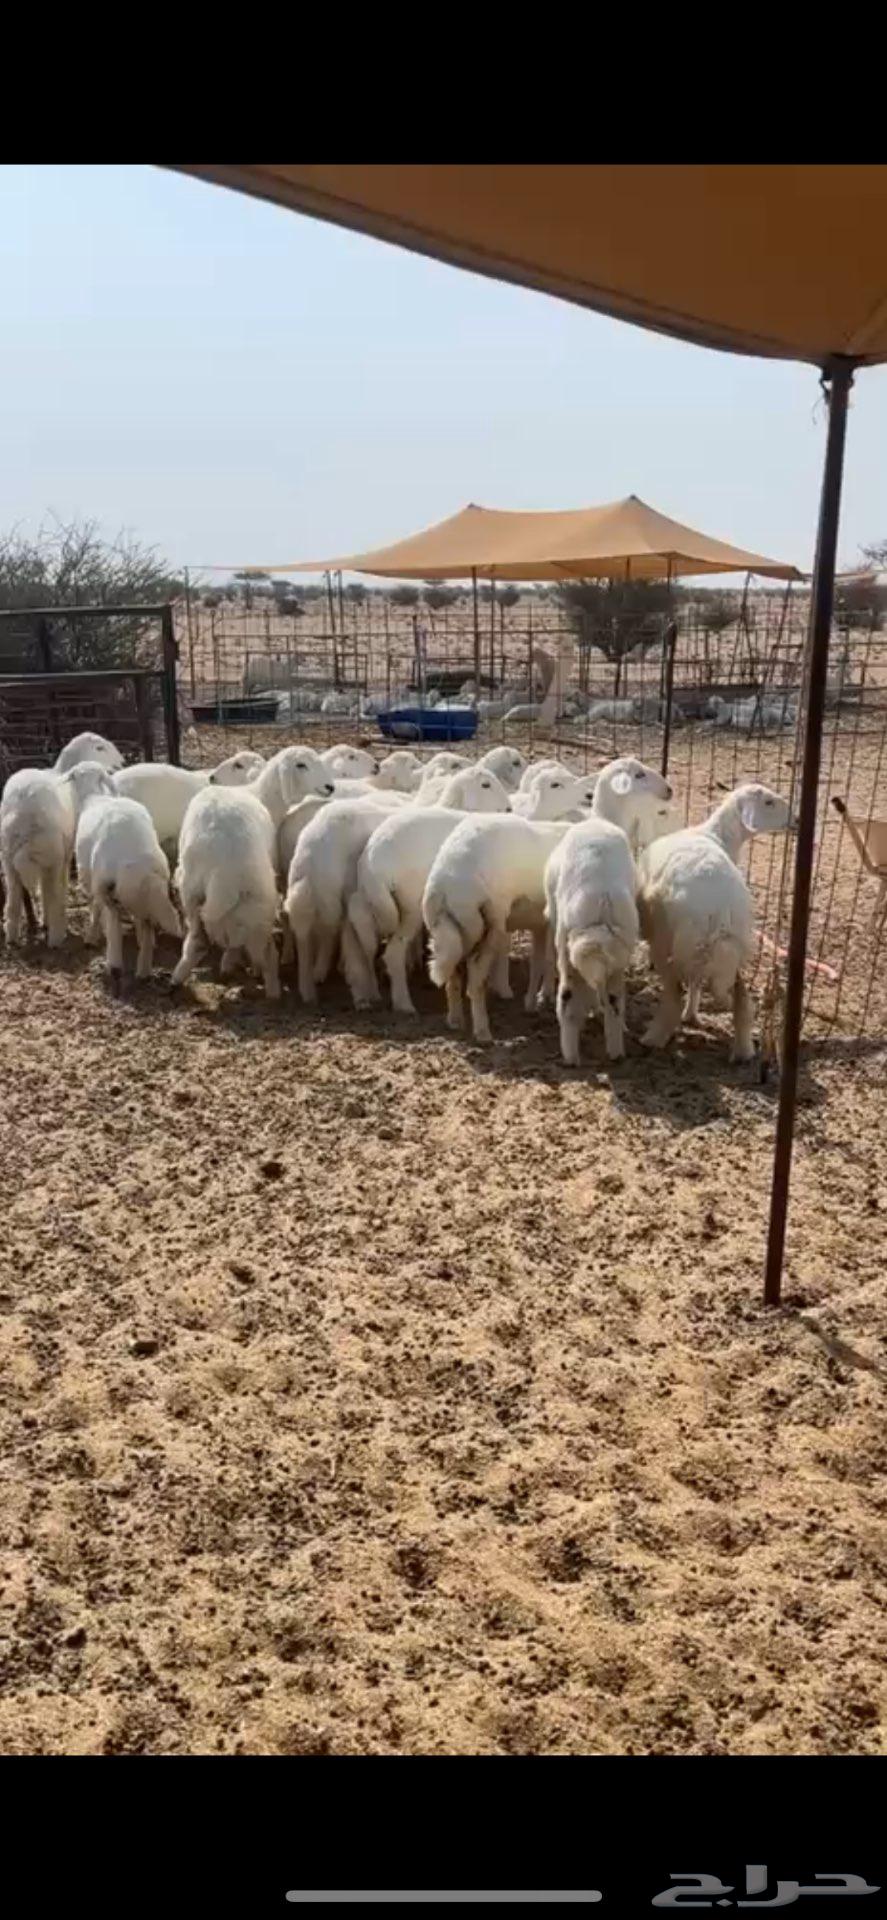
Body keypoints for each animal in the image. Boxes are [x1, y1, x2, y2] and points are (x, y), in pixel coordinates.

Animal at [68, 767, 181, 985]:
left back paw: (114, 964)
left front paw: (91, 936)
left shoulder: (89, 878)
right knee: (146, 924)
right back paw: (143, 968)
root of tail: (137, 862)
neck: (95, 796)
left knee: (114, 923)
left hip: (103, 884)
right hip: (155, 883)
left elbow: (95, 908)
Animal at [343, 767, 512, 1013]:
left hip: (366, 900)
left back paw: (364, 994)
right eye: (485, 785)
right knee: (393, 953)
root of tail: (373, 864)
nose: (509, 809)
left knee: (359, 937)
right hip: (411, 906)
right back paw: (403, 1003)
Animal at [637, 781, 793, 1060]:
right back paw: (744, 1049)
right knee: (741, 997)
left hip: (672, 941)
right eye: (769, 802)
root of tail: (720, 910)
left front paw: (689, 1014)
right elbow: (697, 982)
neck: (715, 835)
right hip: (734, 944)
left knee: (674, 993)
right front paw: (692, 1014)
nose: (796, 820)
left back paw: (653, 1037)